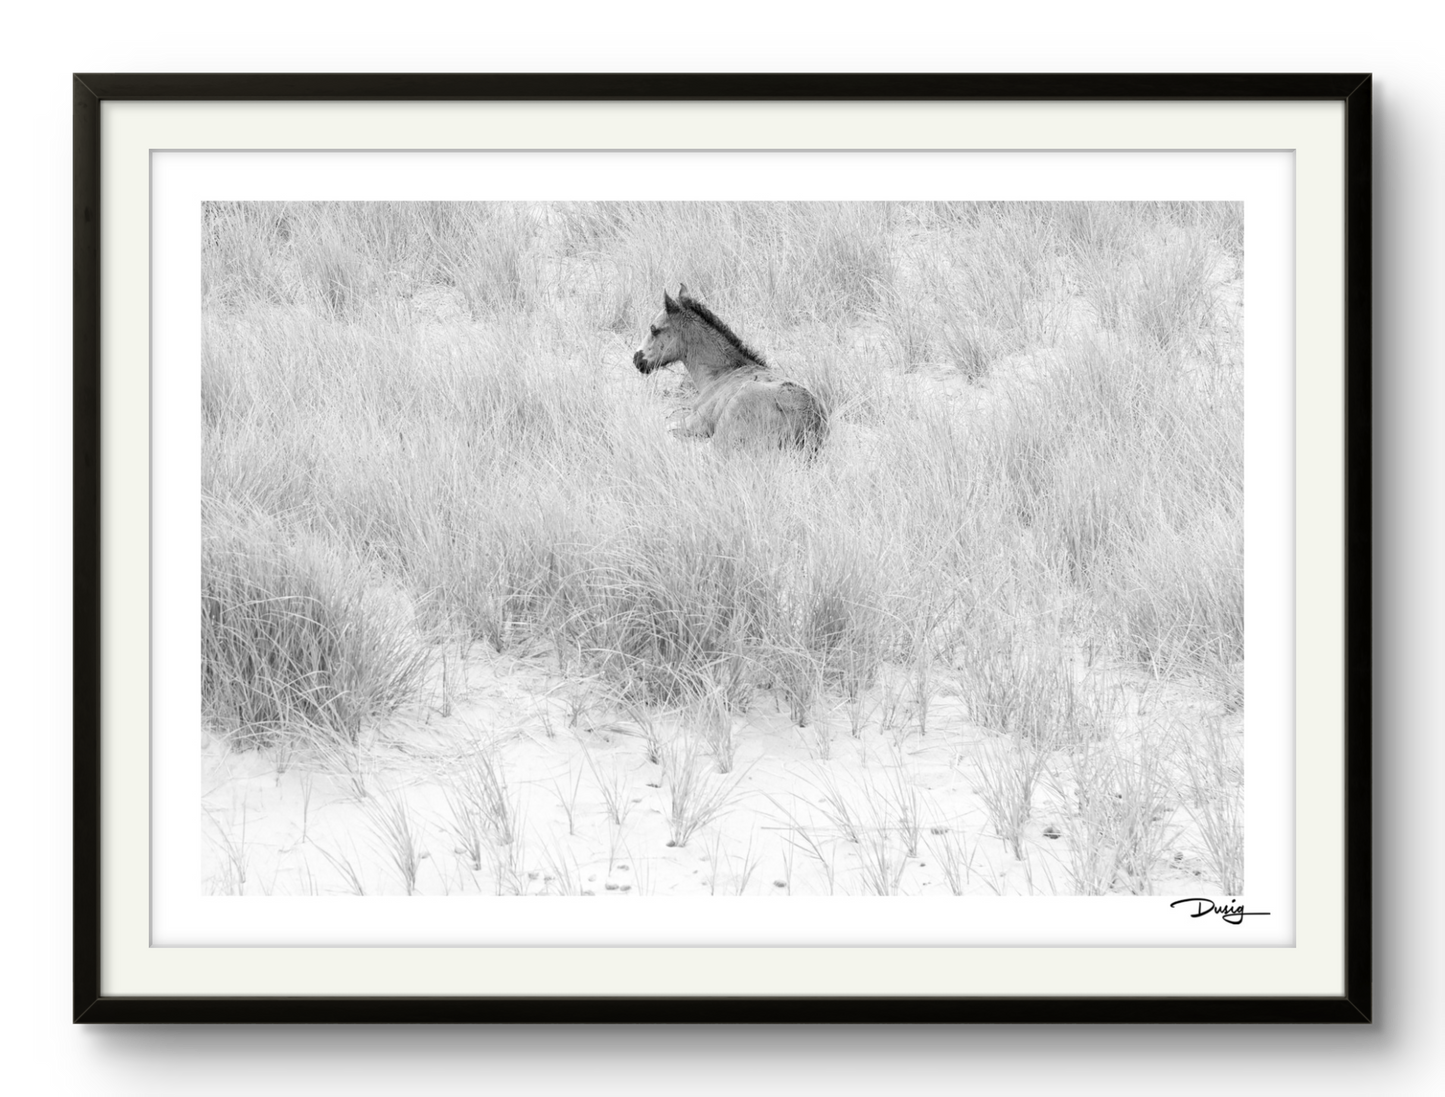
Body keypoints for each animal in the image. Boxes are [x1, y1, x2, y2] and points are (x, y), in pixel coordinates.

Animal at [630, 287, 826, 453]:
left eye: (654, 329)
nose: (636, 359)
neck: (722, 374)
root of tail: (810, 424)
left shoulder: (698, 422)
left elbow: (667, 427)